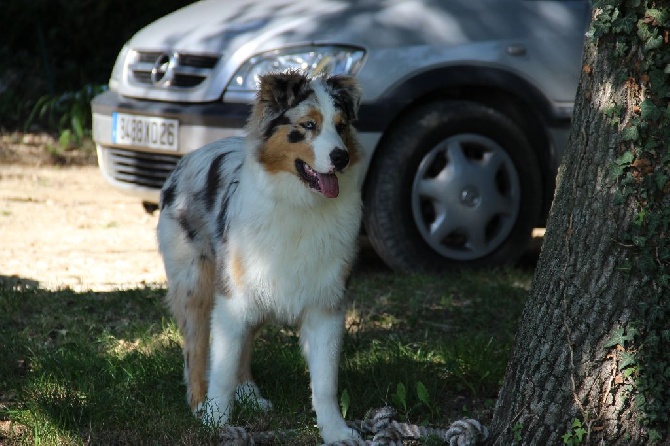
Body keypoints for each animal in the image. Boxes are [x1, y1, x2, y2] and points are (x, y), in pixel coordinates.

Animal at [157, 71, 364, 440]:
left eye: (341, 127)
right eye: (308, 125)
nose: (340, 157)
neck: (300, 205)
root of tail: (188, 157)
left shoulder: (325, 303)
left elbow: (325, 381)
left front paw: (336, 433)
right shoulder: (231, 298)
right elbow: (220, 367)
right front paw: (215, 420)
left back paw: (250, 395)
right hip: (196, 284)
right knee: (196, 350)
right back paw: (198, 402)